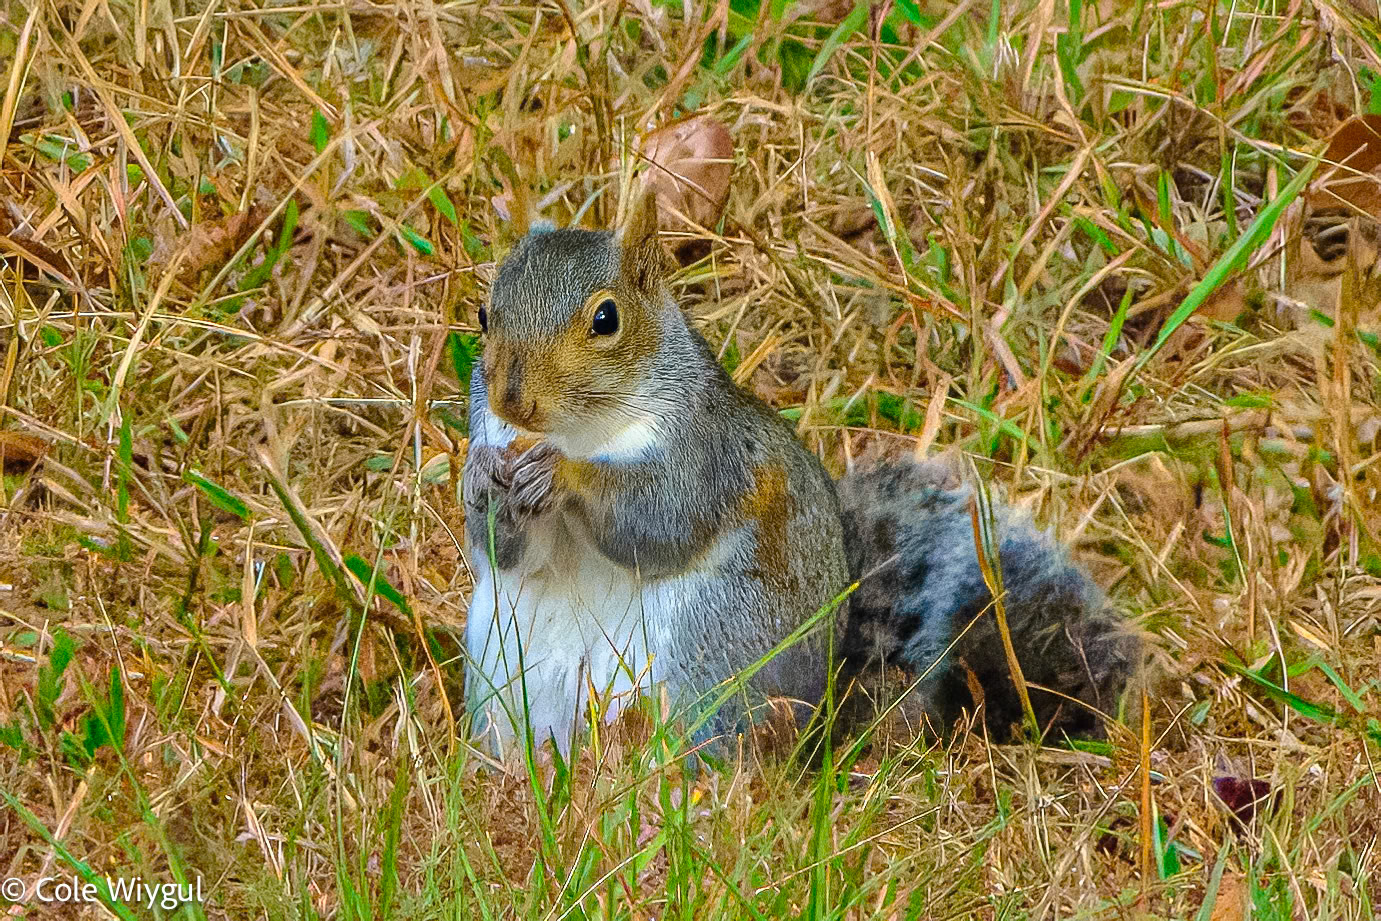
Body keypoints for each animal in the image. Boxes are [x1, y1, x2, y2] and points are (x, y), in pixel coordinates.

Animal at [461, 189, 1141, 760]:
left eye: (606, 320)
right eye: (484, 314)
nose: (513, 402)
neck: (582, 433)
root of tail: (816, 726)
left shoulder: (705, 459)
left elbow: (655, 525)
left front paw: (564, 475)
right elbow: (510, 552)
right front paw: (480, 480)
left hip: (702, 662)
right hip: (511, 669)